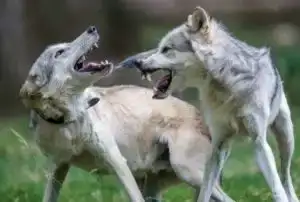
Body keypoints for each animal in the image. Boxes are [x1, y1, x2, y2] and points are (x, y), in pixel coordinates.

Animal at [19, 26, 234, 202]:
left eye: (63, 48)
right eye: (60, 52)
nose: (92, 28)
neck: (68, 119)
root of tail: (204, 120)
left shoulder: (118, 163)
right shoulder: (57, 168)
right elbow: (48, 197)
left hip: (187, 171)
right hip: (157, 186)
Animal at [118, 6, 298, 202]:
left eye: (166, 49)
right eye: (159, 48)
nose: (138, 62)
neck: (225, 88)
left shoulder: (259, 142)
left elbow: (276, 187)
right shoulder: (217, 145)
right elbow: (205, 191)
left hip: (286, 138)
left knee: (285, 176)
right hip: (224, 151)